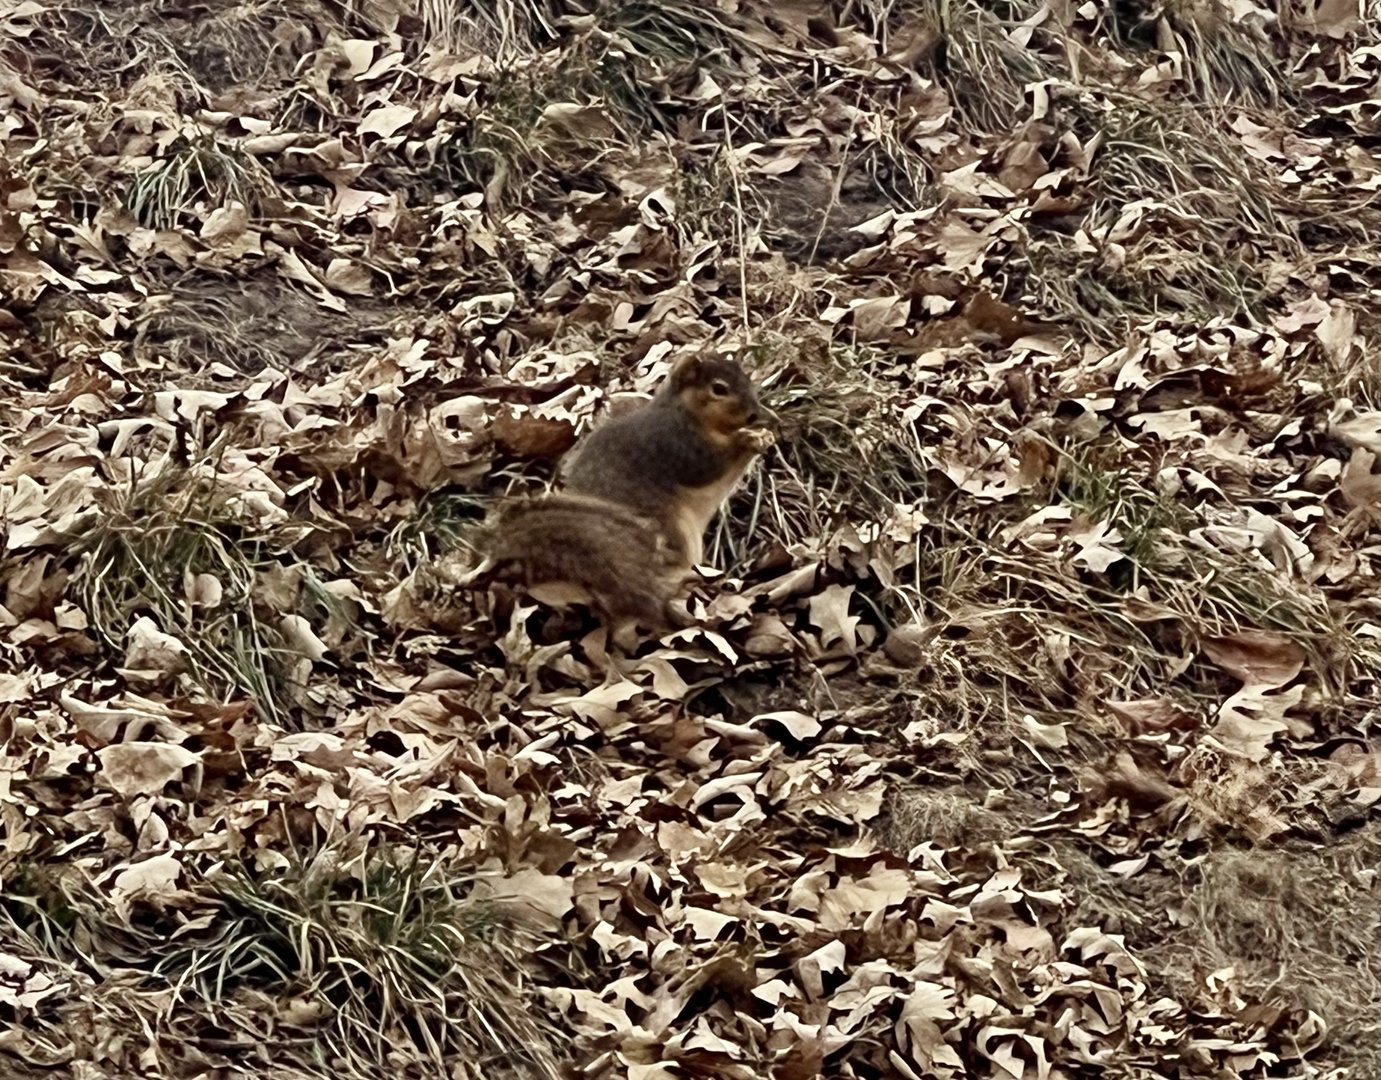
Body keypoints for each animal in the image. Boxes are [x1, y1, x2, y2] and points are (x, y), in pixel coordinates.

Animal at [461, 352, 775, 640]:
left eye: (746, 378)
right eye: (718, 388)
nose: (755, 414)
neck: (688, 413)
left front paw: (765, 432)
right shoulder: (677, 445)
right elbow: (711, 467)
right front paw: (747, 438)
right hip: (674, 533)